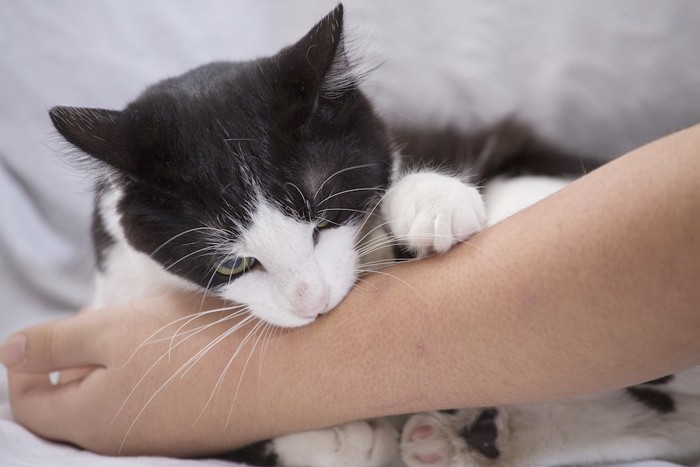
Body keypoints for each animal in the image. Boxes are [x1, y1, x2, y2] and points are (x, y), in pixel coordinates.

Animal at [49, 4, 700, 467]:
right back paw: (466, 440)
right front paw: (340, 443)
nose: (311, 302)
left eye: (324, 215)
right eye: (231, 265)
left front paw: (431, 203)